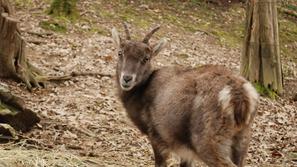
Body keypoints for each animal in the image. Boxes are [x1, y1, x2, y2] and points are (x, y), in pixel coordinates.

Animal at [111, 23, 256, 167]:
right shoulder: (186, 151)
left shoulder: (157, 137)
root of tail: (238, 94)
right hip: (242, 140)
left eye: (146, 58)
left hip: (209, 141)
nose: (127, 78)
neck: (141, 95)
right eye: (120, 52)